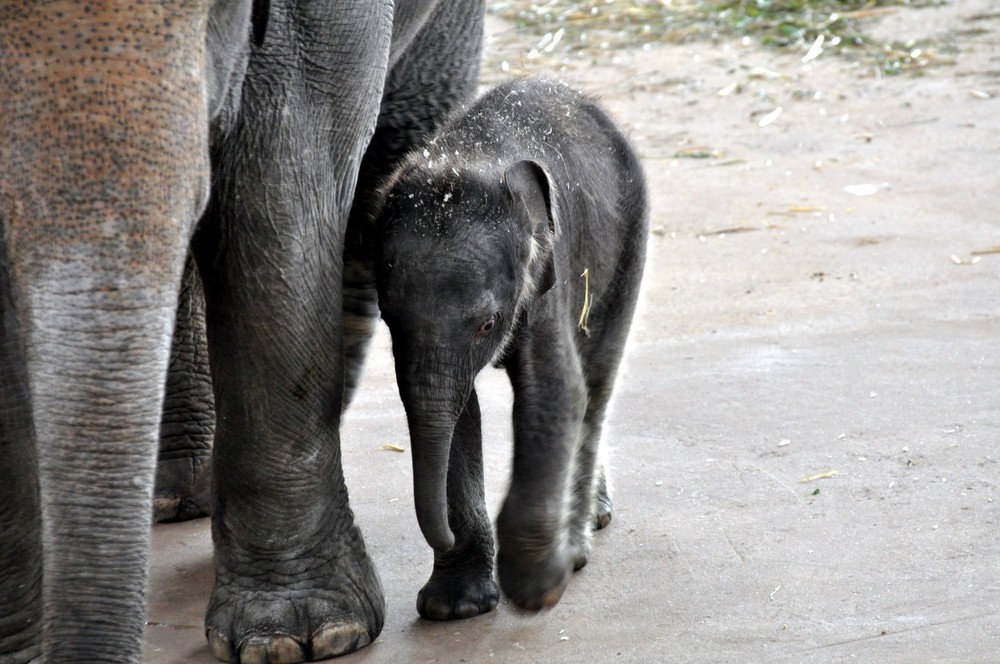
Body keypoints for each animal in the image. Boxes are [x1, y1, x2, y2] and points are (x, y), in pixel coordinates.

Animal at [374, 80, 648, 620]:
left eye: (487, 324)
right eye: (389, 319)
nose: (443, 534)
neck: (465, 160)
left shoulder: (546, 275)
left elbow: (554, 395)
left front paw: (536, 589)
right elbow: (456, 414)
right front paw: (453, 608)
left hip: (630, 230)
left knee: (597, 381)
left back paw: (578, 546)